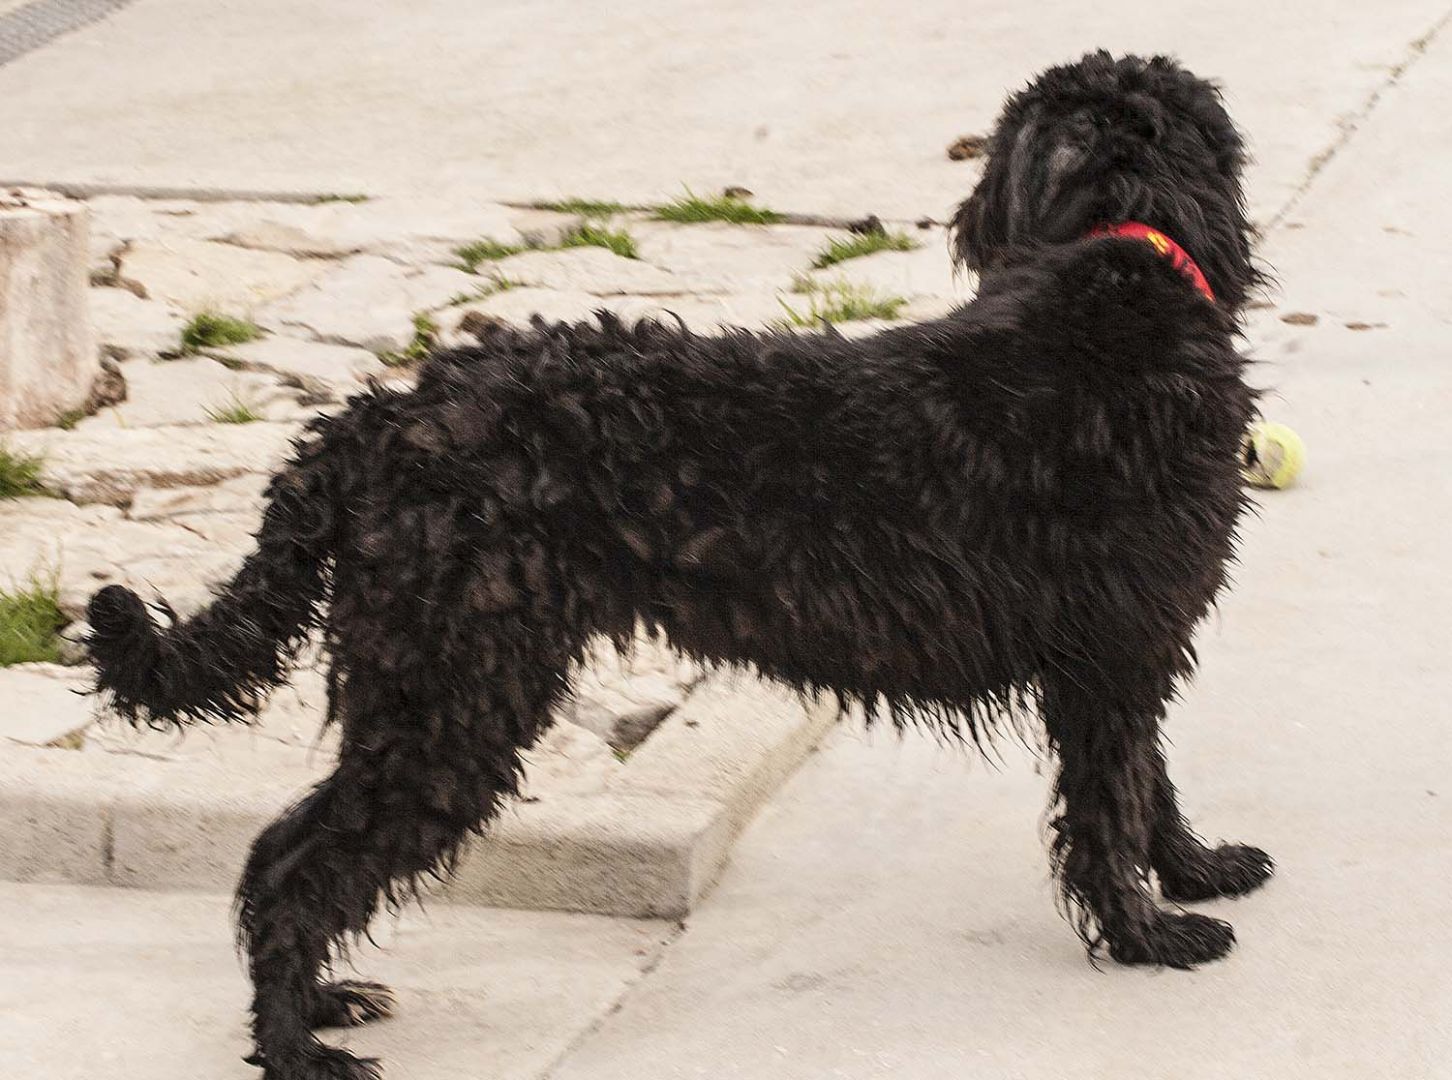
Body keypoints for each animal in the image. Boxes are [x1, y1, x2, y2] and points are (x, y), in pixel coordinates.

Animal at [90, 54, 1271, 1080]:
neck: (1119, 279)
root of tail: (377, 421)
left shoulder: (1128, 646)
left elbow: (1149, 784)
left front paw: (1196, 873)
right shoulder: (1113, 654)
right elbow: (1111, 806)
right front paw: (1149, 933)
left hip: (427, 684)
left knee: (281, 854)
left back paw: (319, 1005)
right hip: (452, 694)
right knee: (296, 867)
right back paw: (298, 1048)